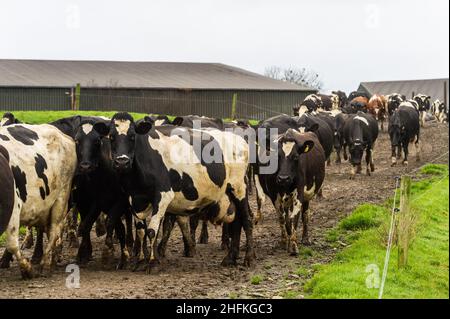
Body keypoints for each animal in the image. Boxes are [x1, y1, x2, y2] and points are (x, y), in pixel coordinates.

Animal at [0, 124, 76, 278]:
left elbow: (12, 244)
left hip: (61, 198)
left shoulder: (14, 207)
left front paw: (27, 269)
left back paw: (45, 264)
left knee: (54, 231)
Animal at [92, 113, 253, 270]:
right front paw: (141, 261)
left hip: (239, 189)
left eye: (132, 136)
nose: (122, 162)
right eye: (111, 136)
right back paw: (230, 258)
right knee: (237, 222)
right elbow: (141, 230)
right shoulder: (135, 199)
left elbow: (152, 230)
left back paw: (248, 258)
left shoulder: (163, 195)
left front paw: (152, 262)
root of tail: (240, 140)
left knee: (246, 220)